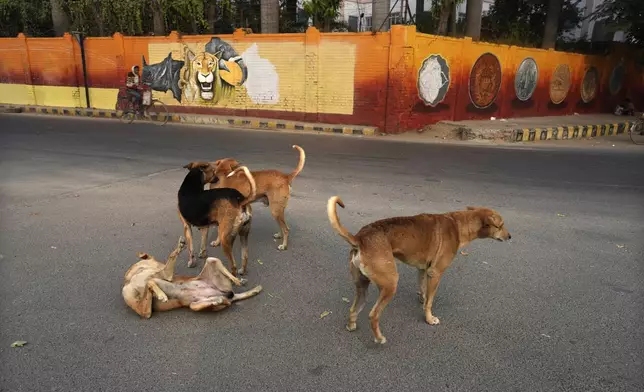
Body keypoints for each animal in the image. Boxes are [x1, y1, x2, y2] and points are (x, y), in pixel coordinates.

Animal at [121, 237, 262, 316]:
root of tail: (230, 295)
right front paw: (160, 295)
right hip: (194, 304)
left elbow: (151, 280)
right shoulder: (145, 311)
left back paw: (238, 281)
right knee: (210, 303)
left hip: (211, 260)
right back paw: (217, 300)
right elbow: (149, 283)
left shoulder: (165, 275)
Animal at [330, 196, 510, 344]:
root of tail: (360, 238)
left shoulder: (423, 270)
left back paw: (351, 325)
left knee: (354, 309)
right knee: (373, 315)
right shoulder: (435, 273)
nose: (510, 236)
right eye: (500, 226)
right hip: (390, 284)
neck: (458, 225)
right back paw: (379, 338)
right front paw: (429, 318)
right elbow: (430, 301)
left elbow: (424, 291)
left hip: (362, 285)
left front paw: (422, 300)